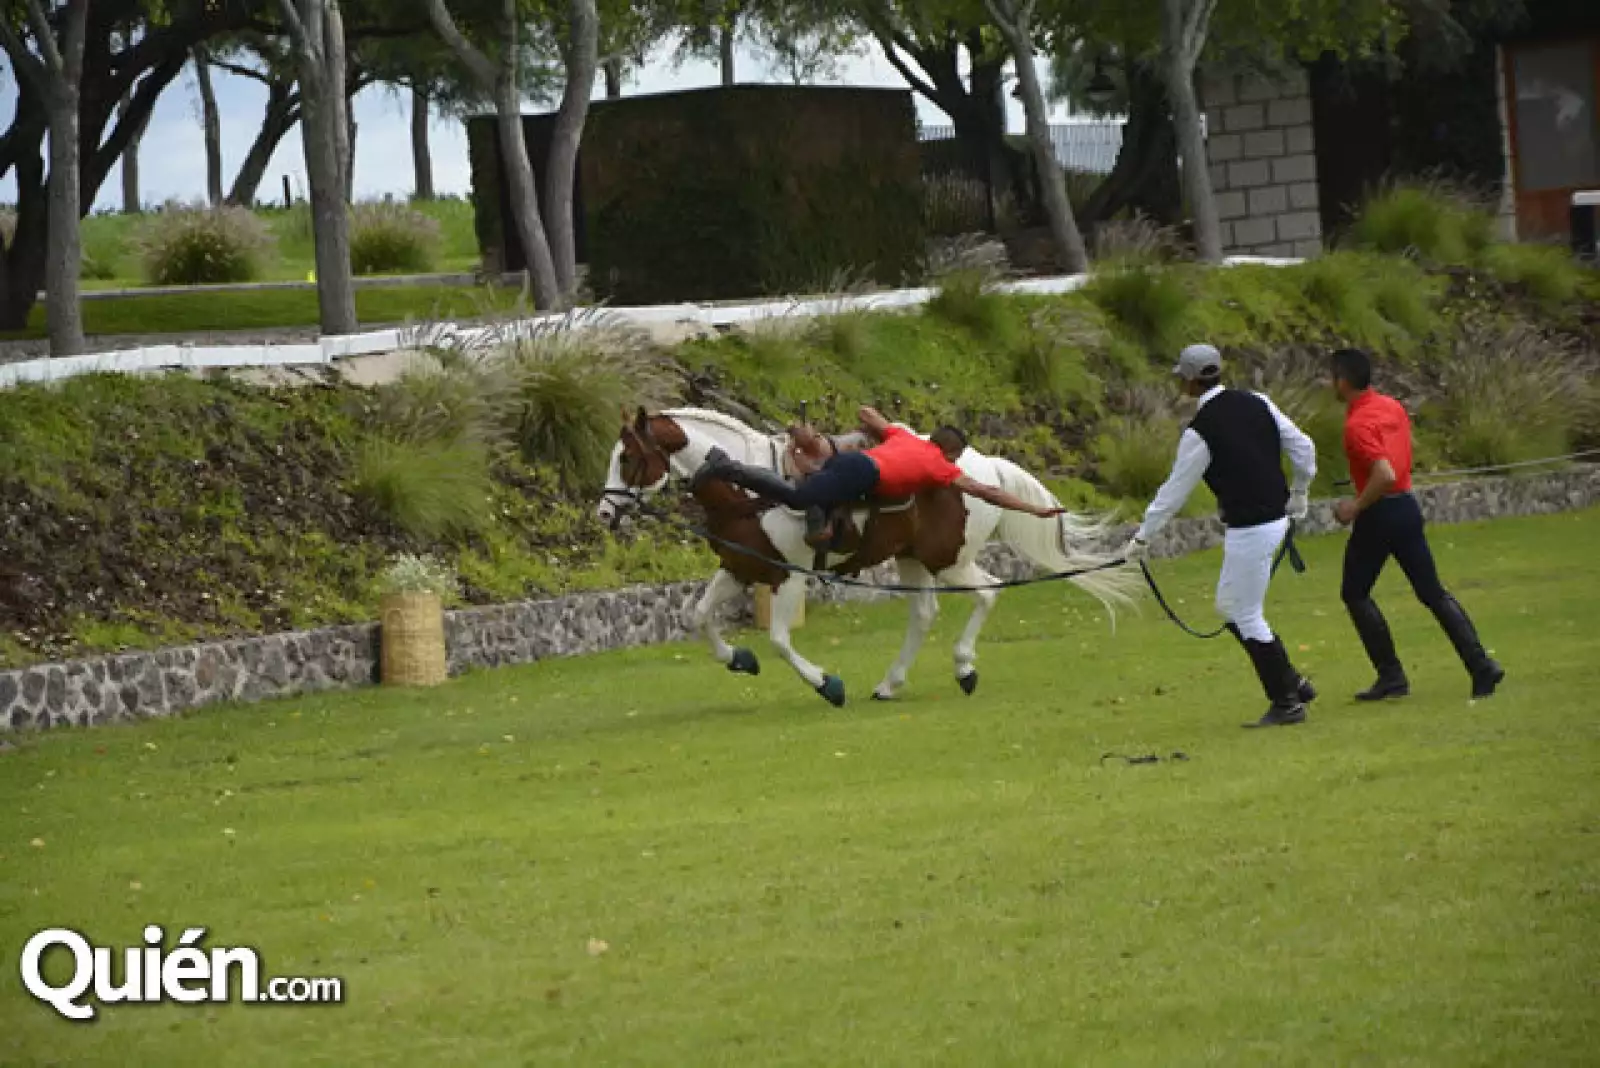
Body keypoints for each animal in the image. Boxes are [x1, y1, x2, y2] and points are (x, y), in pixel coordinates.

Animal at [597, 407, 1138, 706]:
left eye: (627, 457)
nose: (603, 511)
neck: (747, 494)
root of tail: (984, 466)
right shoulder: (740, 567)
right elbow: (698, 616)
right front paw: (739, 659)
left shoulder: (790, 574)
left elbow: (779, 640)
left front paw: (827, 684)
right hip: (913, 558)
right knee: (925, 613)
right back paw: (890, 684)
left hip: (948, 558)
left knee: (986, 592)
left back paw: (963, 668)